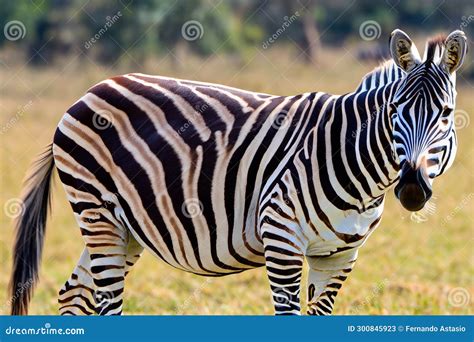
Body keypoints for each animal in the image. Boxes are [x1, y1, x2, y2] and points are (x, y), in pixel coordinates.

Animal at [10, 30, 466, 316]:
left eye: (445, 114)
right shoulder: (281, 238)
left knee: (75, 295)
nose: (411, 189)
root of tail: (89, 91)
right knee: (106, 302)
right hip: (96, 211)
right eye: (395, 112)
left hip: (126, 227)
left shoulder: (338, 257)